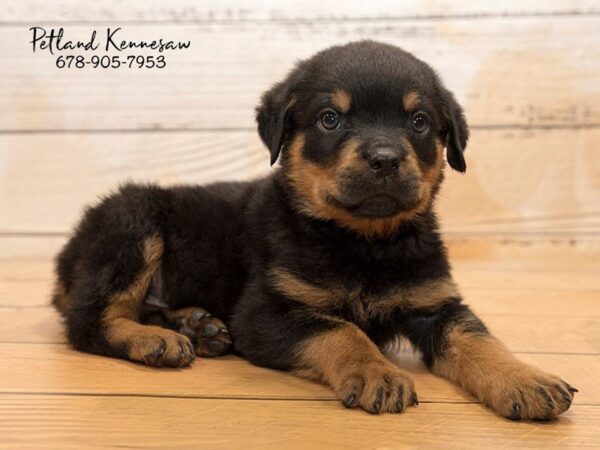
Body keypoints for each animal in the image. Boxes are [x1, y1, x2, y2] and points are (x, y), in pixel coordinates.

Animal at [52, 40, 576, 420]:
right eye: (330, 119)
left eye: (420, 121)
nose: (385, 159)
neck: (364, 242)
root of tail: (69, 250)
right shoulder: (266, 311)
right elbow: (341, 330)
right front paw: (377, 374)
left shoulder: (435, 302)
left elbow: (478, 339)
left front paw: (527, 379)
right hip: (133, 224)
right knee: (87, 321)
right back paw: (156, 341)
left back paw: (196, 326)